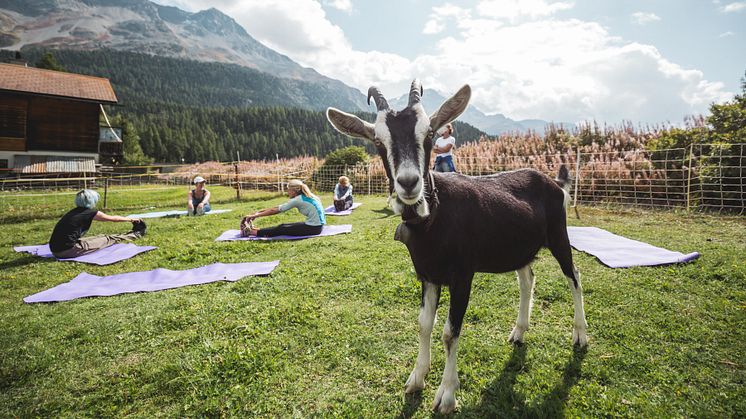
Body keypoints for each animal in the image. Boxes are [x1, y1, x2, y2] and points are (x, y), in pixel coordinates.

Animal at [326, 80, 588, 416]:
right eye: (378, 142)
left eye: (429, 134)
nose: (408, 183)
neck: (434, 219)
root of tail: (554, 183)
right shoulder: (428, 275)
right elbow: (424, 324)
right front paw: (416, 378)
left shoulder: (462, 275)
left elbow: (450, 332)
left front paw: (447, 396)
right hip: (519, 246)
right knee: (527, 279)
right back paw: (519, 332)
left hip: (558, 234)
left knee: (574, 275)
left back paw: (580, 335)